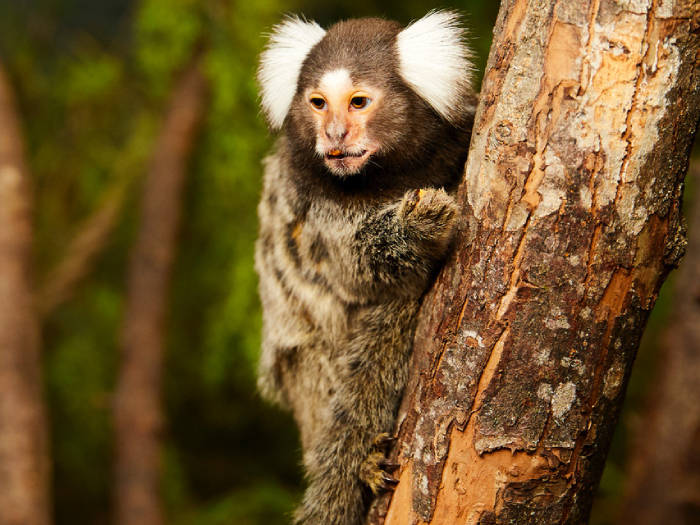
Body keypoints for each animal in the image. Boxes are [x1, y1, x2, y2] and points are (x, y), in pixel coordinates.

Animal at [254, 9, 478, 524]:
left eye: (358, 102)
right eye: (318, 103)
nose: (334, 135)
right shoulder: (316, 202)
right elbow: (357, 272)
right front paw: (418, 228)